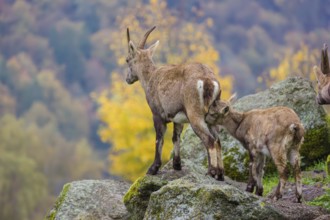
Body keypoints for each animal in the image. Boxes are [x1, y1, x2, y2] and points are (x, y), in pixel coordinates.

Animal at [125, 26, 224, 180]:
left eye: (127, 60)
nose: (127, 79)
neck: (150, 77)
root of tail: (208, 81)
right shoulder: (178, 117)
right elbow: (175, 137)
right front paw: (177, 165)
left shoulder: (157, 114)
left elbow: (159, 139)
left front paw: (153, 168)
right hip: (212, 116)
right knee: (218, 140)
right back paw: (220, 174)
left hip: (195, 114)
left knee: (210, 140)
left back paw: (212, 172)